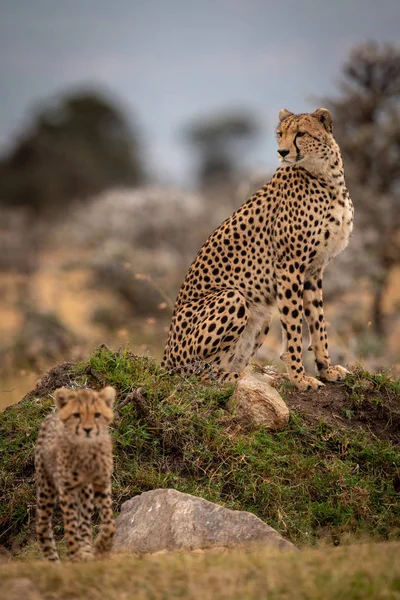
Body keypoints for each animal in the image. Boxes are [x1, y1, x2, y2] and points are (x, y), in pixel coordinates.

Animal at [162, 108, 354, 392]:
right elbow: (294, 327)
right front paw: (300, 378)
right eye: (280, 133)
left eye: (301, 134)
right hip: (232, 298)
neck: (327, 177)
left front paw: (326, 369)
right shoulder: (289, 266)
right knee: (199, 376)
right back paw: (241, 378)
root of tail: (164, 359)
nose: (282, 152)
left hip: (261, 316)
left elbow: (318, 322)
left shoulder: (313, 270)